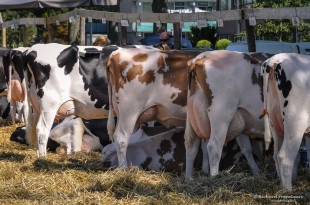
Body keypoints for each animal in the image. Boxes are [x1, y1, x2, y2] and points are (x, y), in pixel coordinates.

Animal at [184, 50, 274, 180]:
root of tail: (199, 58)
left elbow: (246, 148)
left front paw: (257, 172)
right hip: (221, 114)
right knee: (213, 147)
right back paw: (214, 177)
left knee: (191, 145)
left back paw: (188, 179)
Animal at [262, 52, 310, 191]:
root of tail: (275, 59)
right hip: (295, 124)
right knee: (285, 158)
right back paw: (288, 190)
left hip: (275, 122)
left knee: (276, 155)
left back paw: (281, 186)